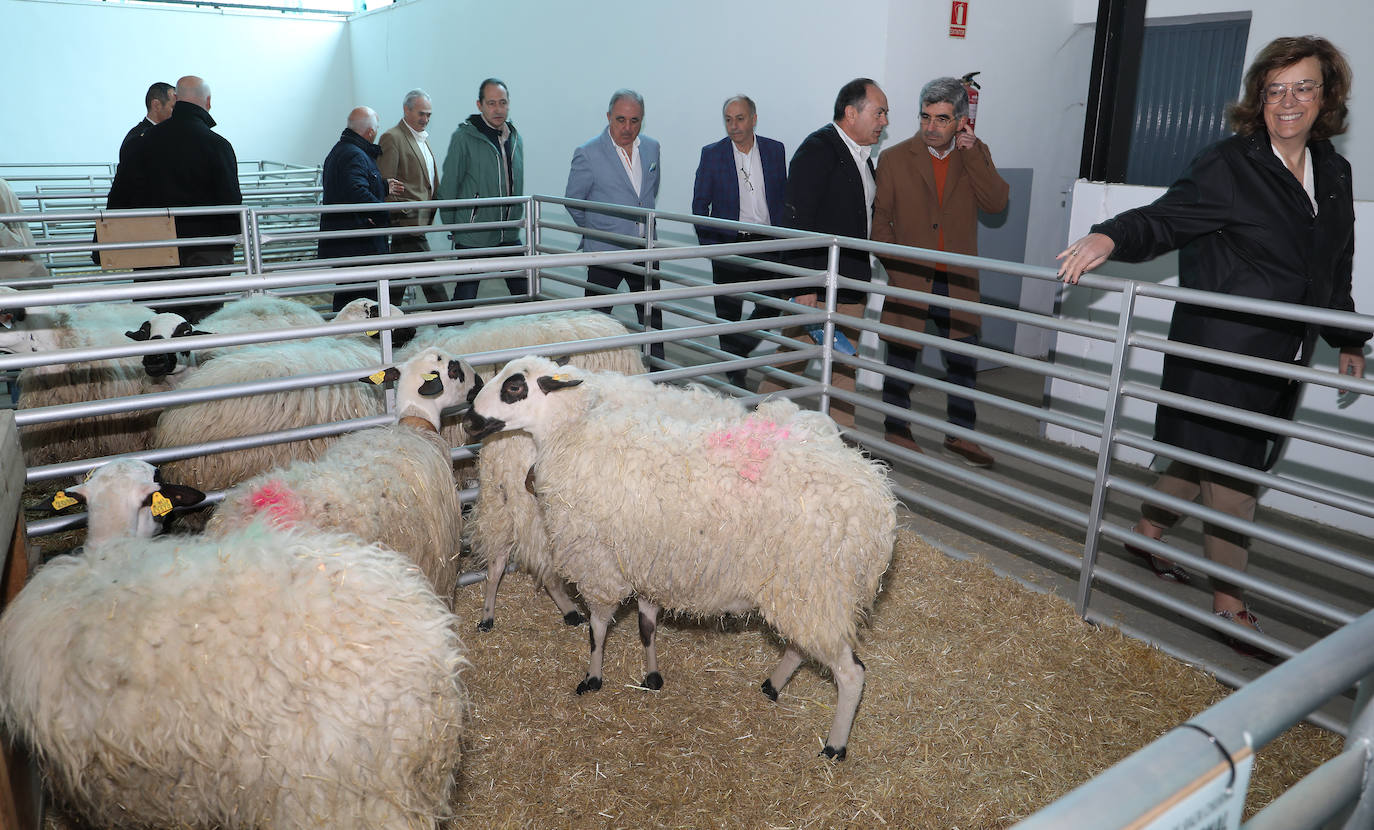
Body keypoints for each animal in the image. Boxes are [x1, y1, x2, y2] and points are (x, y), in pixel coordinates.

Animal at [461, 354, 895, 758]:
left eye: (514, 387)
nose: (469, 420)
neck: (572, 434)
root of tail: (878, 514)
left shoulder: (599, 561)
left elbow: (598, 629)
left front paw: (593, 678)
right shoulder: (647, 560)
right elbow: (646, 625)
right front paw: (651, 675)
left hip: (816, 588)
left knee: (850, 672)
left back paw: (834, 745)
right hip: (802, 593)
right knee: (803, 644)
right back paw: (772, 685)